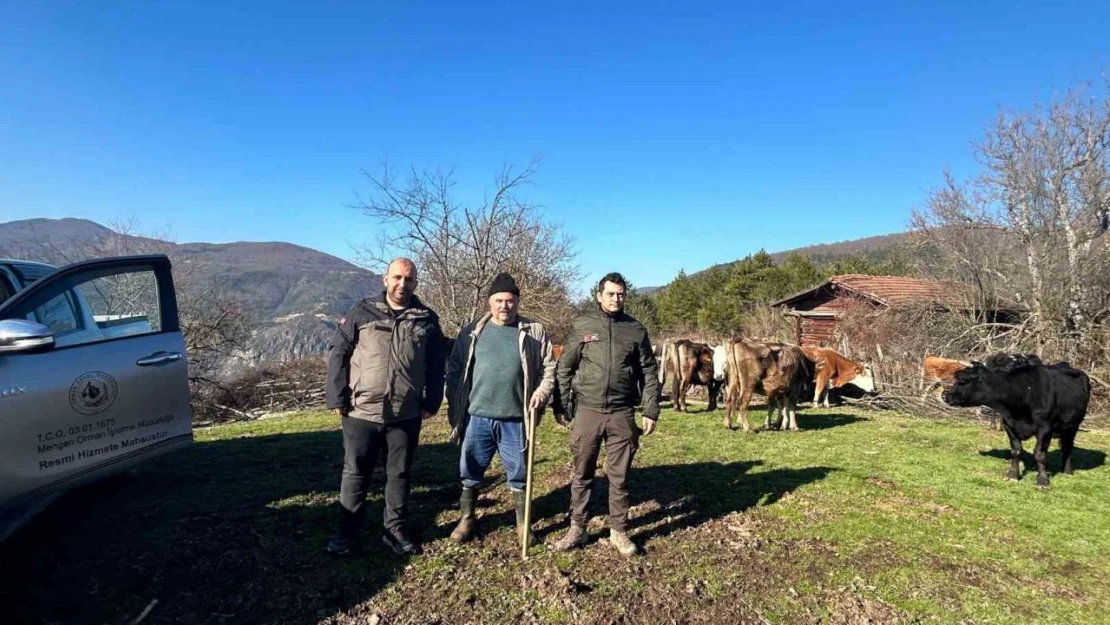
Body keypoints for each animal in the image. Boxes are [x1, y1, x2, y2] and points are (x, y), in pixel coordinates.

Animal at [945, 353, 1092, 488]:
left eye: (963, 381)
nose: (948, 396)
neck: (1024, 392)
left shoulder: (1045, 427)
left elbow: (1040, 453)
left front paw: (1043, 480)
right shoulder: (1009, 424)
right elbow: (1015, 451)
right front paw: (1013, 475)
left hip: (1072, 425)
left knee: (1067, 447)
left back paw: (1067, 471)